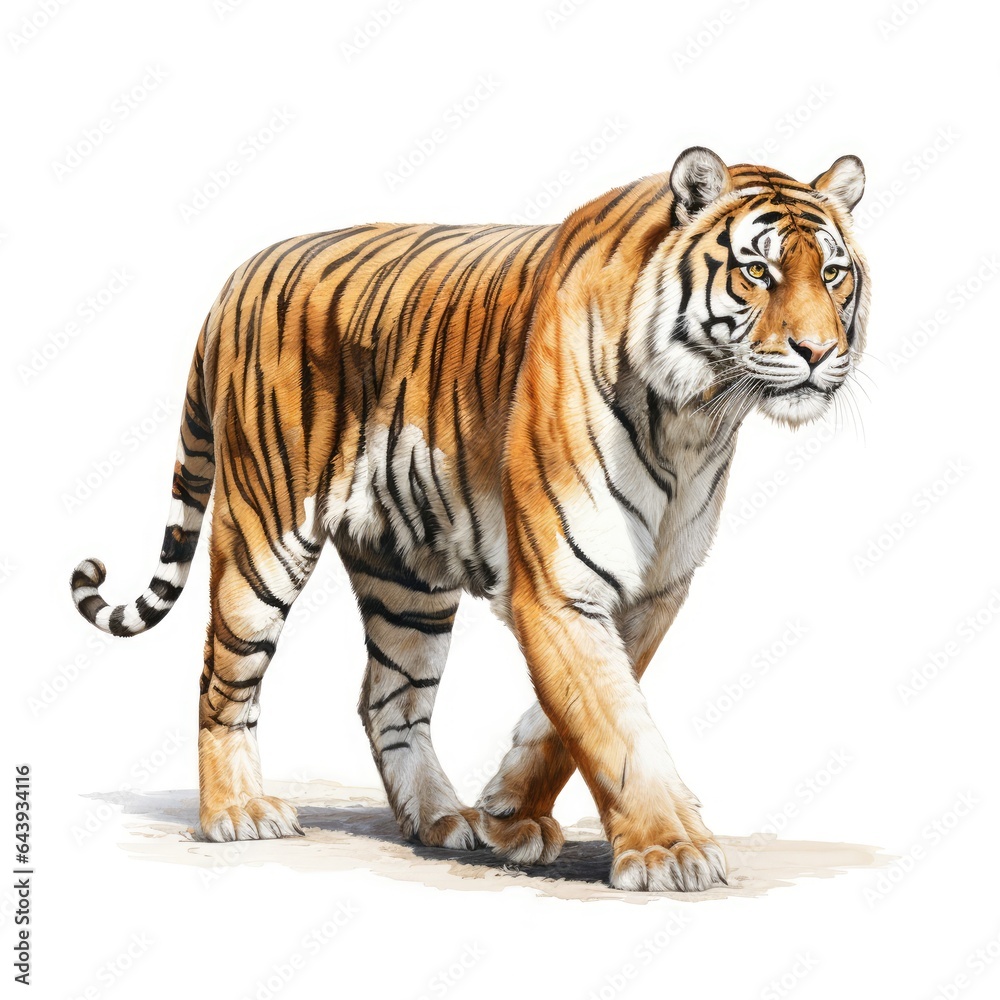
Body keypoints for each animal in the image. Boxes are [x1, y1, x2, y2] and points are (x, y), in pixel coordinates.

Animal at [70, 146, 869, 892]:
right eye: (758, 272)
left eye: (833, 274)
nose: (819, 351)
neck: (695, 418)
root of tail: (236, 277)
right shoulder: (558, 585)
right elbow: (616, 726)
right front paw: (670, 852)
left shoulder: (654, 590)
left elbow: (575, 718)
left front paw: (508, 814)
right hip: (263, 535)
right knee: (222, 675)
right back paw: (236, 813)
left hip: (408, 581)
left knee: (387, 698)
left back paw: (440, 818)